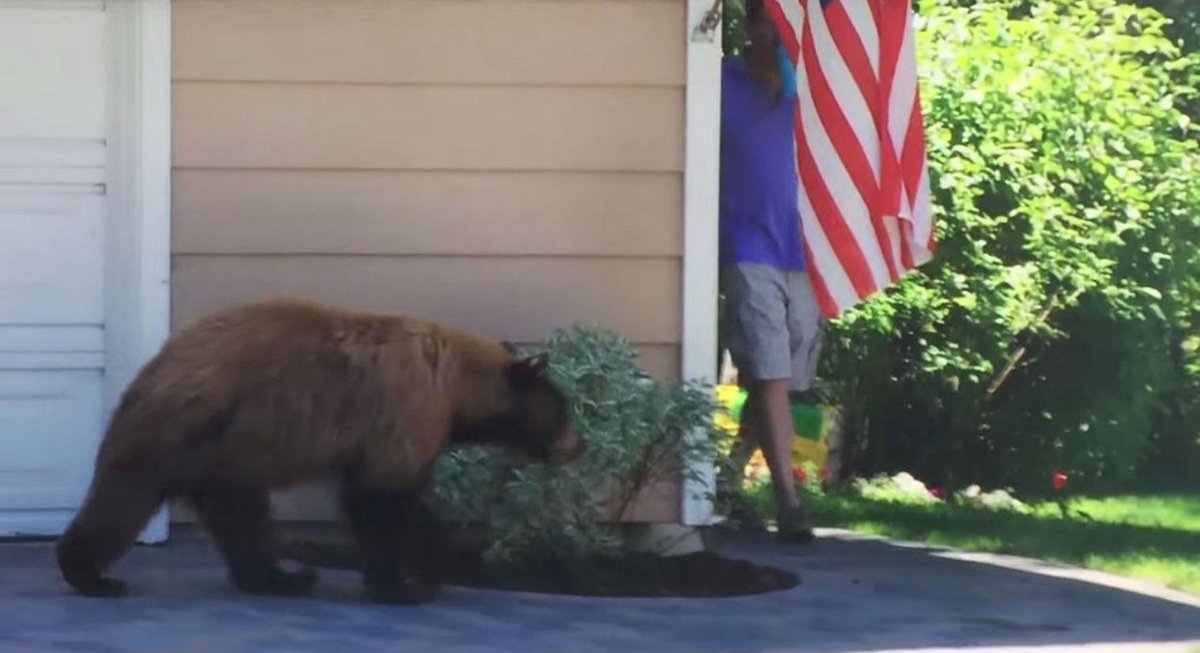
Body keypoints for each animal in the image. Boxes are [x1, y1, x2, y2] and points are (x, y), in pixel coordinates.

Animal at [55, 298, 583, 604]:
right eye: (564, 409)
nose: (579, 445)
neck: (454, 385)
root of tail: (152, 369)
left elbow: (388, 499)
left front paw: (431, 564)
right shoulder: (403, 411)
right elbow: (383, 500)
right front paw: (400, 584)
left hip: (228, 456)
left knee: (240, 515)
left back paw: (277, 577)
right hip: (183, 433)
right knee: (124, 499)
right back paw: (90, 575)